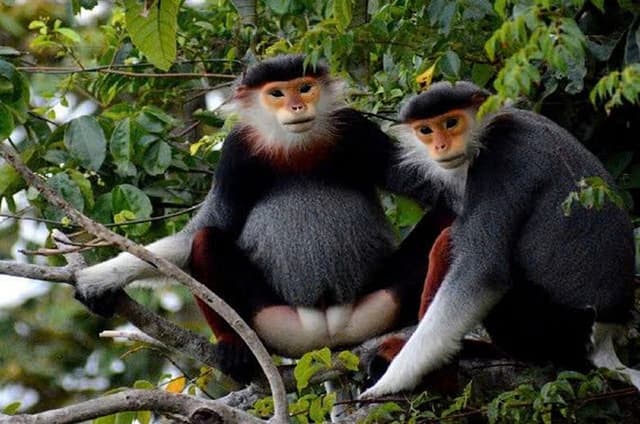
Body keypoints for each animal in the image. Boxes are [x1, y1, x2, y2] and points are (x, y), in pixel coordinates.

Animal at [75, 55, 450, 382]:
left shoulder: (357, 130)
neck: (295, 147)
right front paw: (100, 279)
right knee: (207, 239)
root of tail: (325, 340)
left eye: (305, 87)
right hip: (273, 325)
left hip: (378, 306)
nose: (297, 107)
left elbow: (441, 192)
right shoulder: (236, 153)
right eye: (277, 94)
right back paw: (234, 349)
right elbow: (199, 232)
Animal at [361, 81, 639, 398]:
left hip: (547, 328)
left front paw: (390, 382)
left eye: (451, 123)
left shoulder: (500, 159)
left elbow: (481, 271)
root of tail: (605, 335)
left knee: (450, 240)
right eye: (426, 130)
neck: (492, 125)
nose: (440, 146)